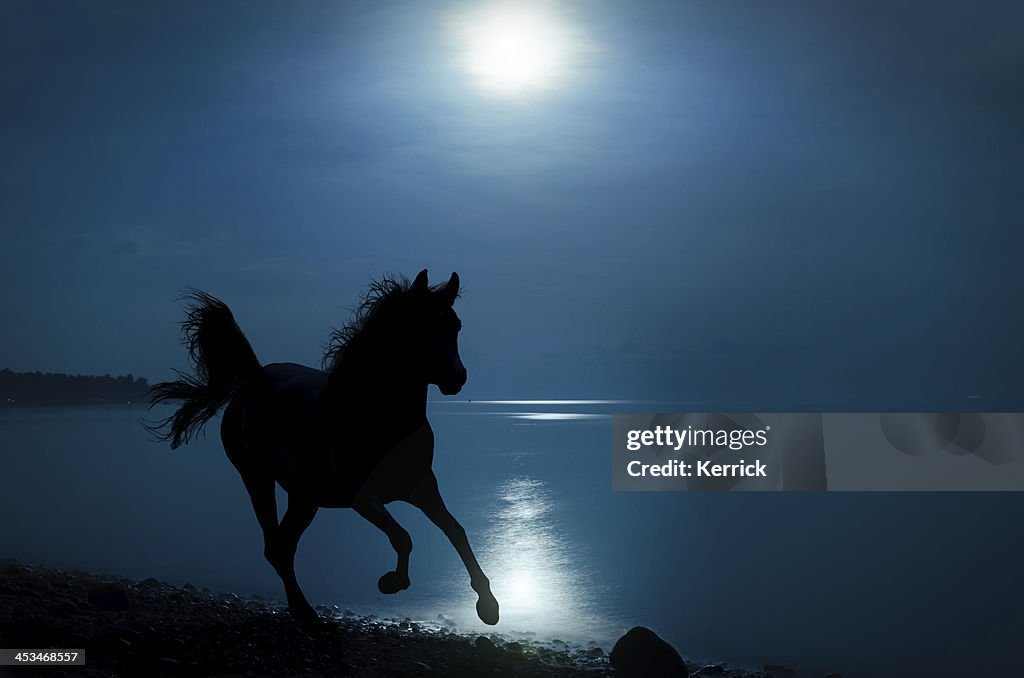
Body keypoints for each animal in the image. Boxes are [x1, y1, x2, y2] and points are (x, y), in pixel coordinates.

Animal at [145, 270, 499, 626]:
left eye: (455, 325)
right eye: (422, 323)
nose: (457, 378)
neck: (379, 415)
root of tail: (254, 378)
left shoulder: (421, 486)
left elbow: (456, 531)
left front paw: (488, 605)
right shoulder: (360, 493)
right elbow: (403, 537)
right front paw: (391, 582)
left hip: (304, 497)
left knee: (283, 546)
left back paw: (304, 611)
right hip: (258, 478)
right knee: (275, 547)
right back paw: (305, 613)